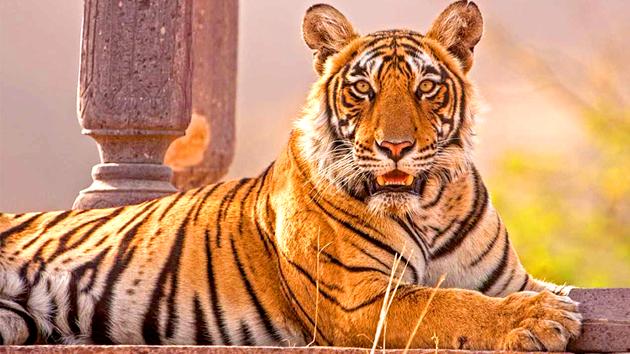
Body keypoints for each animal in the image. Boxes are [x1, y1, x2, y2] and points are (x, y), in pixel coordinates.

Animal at [0, 1, 584, 352]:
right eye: (363, 89)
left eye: (425, 88)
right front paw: (539, 319)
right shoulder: (361, 299)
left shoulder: (506, 280)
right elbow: (449, 305)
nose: (395, 147)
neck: (429, 205)